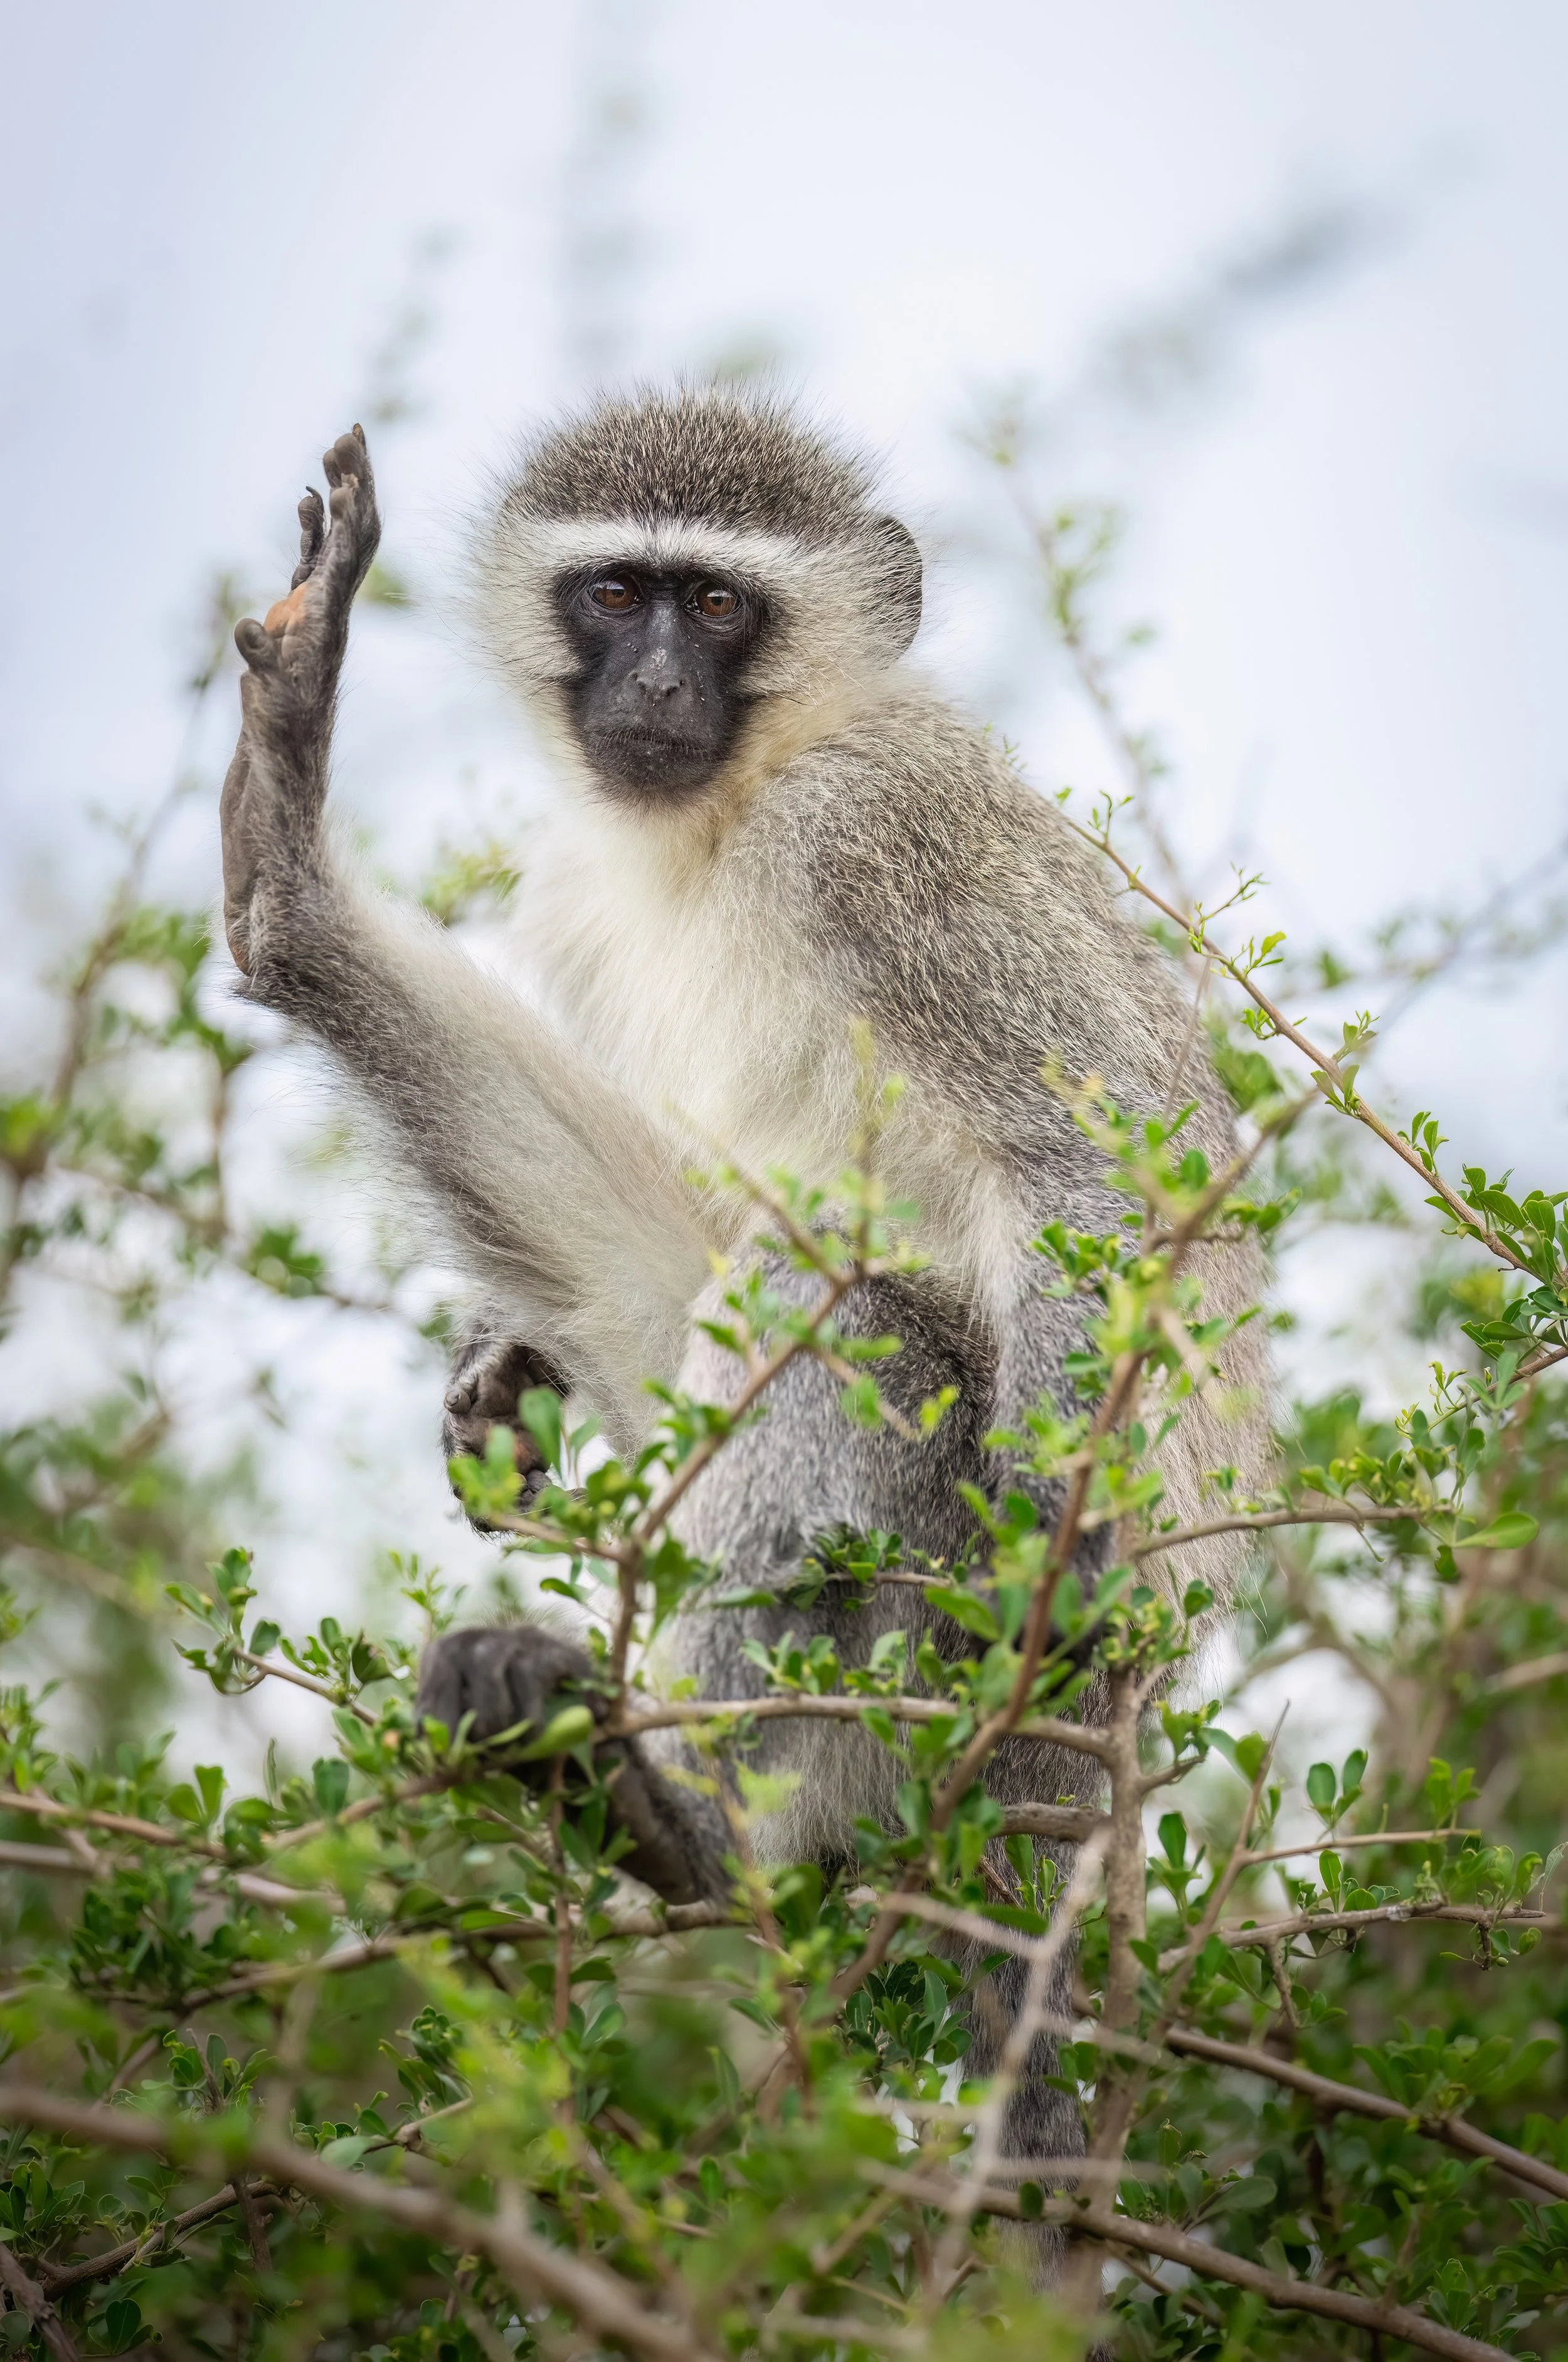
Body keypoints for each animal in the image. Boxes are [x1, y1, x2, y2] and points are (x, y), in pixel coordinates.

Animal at [219, 391, 1268, 2204]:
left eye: (715, 606)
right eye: (613, 593)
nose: (651, 687)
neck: (726, 814)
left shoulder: (873, 837)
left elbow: (1091, 1161)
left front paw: (1043, 1561)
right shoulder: (580, 898)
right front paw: (499, 1354)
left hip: (938, 1675)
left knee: (853, 1323)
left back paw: (685, 1814)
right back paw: (289, 895)